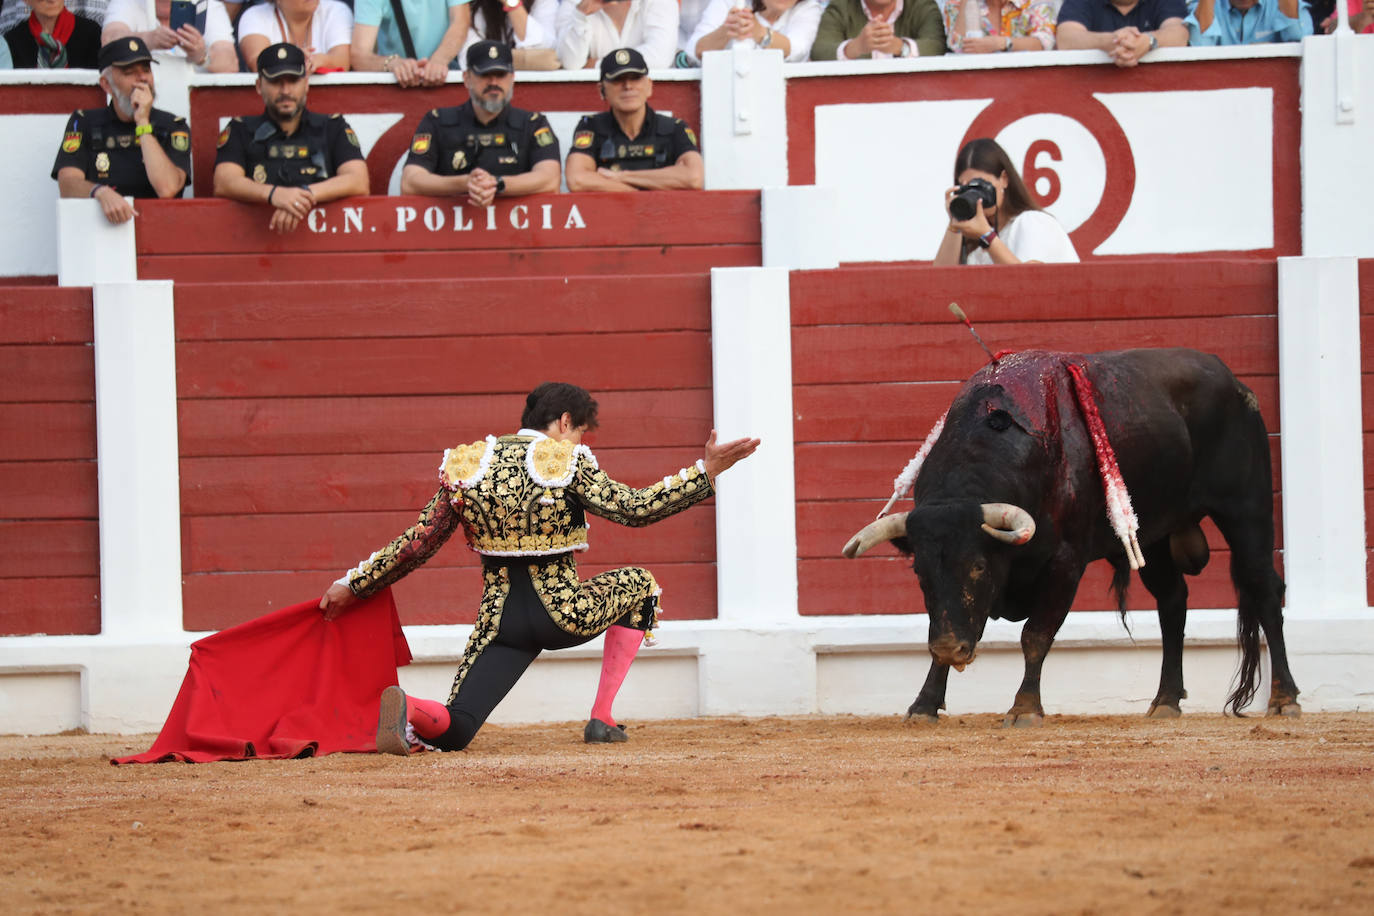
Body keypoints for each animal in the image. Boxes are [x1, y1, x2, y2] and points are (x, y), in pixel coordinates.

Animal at [840, 347, 1302, 725]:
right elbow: (951, 623)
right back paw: (1166, 701)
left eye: (978, 567)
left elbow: (1035, 635)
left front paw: (1025, 708)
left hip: (1247, 509)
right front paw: (924, 704)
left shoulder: (1065, 563)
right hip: (1154, 535)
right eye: (920, 574)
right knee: (1173, 603)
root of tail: (1234, 381)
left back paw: (1284, 699)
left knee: (1263, 589)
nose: (952, 649)